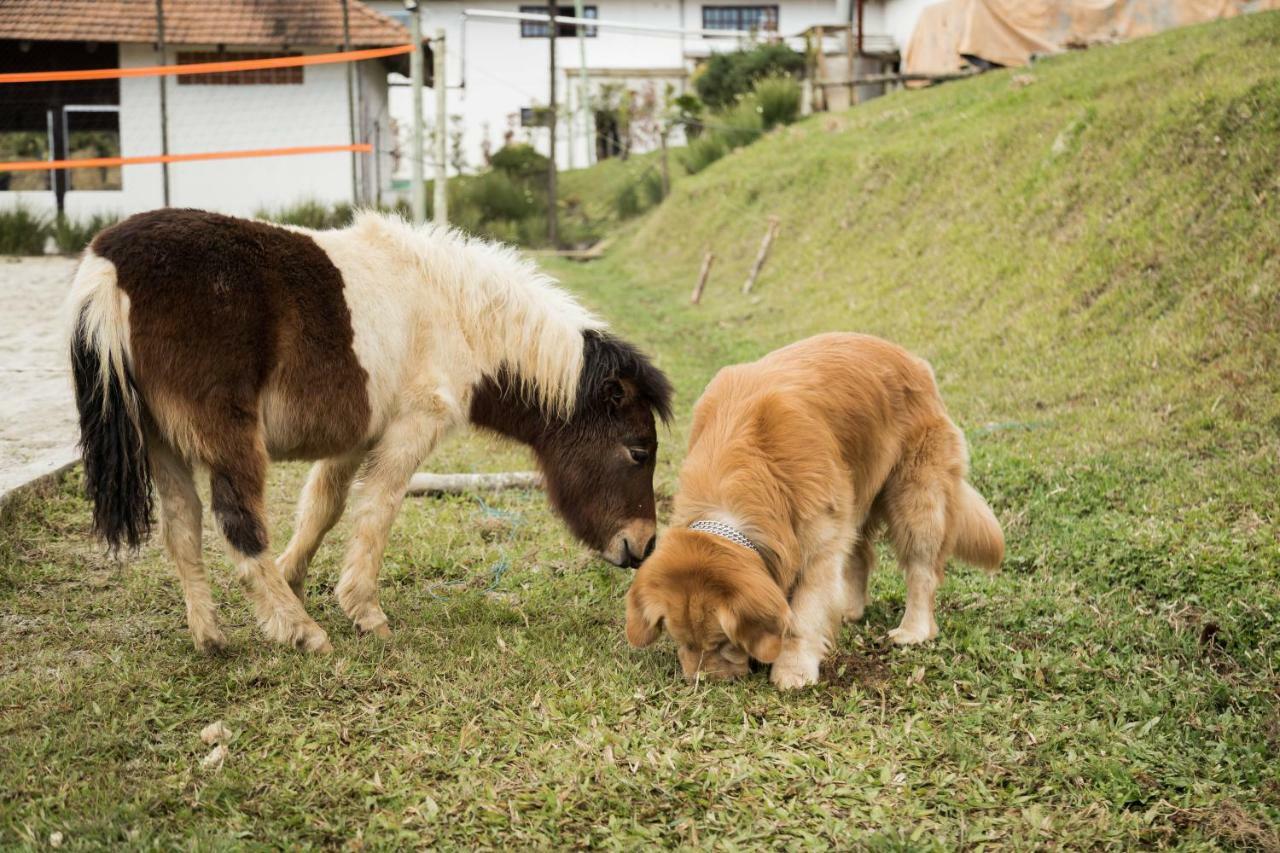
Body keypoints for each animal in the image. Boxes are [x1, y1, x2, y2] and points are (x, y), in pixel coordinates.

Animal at [68, 208, 675, 653]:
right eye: (638, 451)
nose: (644, 545)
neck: (457, 317)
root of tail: (109, 266)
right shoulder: (412, 428)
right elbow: (379, 508)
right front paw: (363, 611)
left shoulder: (354, 438)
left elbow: (325, 507)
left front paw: (295, 578)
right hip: (227, 439)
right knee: (238, 525)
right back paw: (304, 634)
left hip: (162, 443)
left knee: (181, 527)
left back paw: (212, 637)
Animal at [624, 327, 1003, 686]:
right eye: (681, 641)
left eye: (722, 642)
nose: (702, 682)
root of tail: (916, 362)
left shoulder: (817, 540)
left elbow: (803, 615)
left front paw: (793, 669)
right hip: (854, 495)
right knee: (860, 555)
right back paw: (850, 609)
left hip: (917, 496)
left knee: (922, 570)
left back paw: (914, 629)